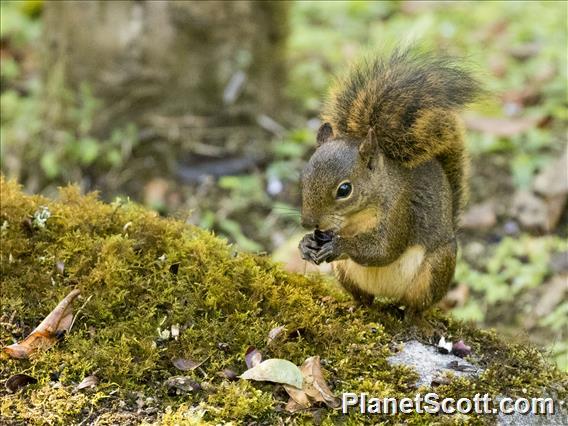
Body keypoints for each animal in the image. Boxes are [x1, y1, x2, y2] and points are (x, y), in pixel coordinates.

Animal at [300, 48, 482, 314]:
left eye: (344, 190)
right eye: (303, 178)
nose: (307, 223)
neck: (355, 218)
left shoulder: (399, 210)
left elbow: (384, 249)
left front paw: (339, 246)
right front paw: (305, 244)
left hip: (435, 269)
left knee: (417, 305)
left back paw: (412, 318)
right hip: (345, 273)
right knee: (364, 298)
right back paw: (353, 305)